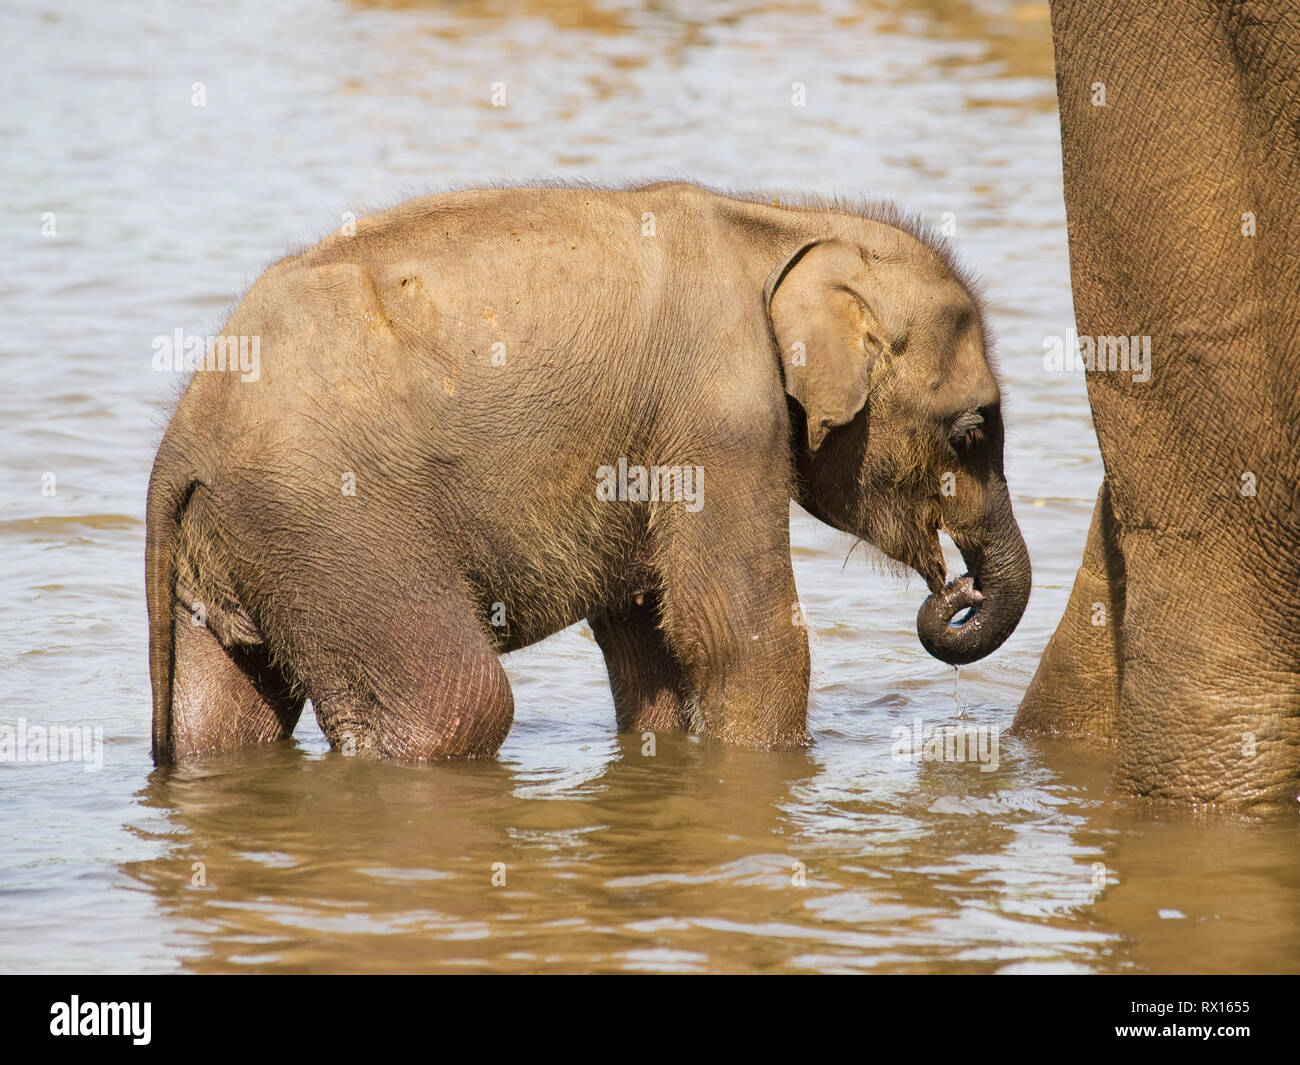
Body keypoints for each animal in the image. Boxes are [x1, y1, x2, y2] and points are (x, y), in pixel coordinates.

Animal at [147, 185, 1029, 764]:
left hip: (247, 545)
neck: (784, 224)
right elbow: (736, 630)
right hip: (335, 524)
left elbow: (648, 637)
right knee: (457, 707)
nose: (958, 590)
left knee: (221, 718)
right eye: (971, 431)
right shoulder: (717, 414)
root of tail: (180, 441)